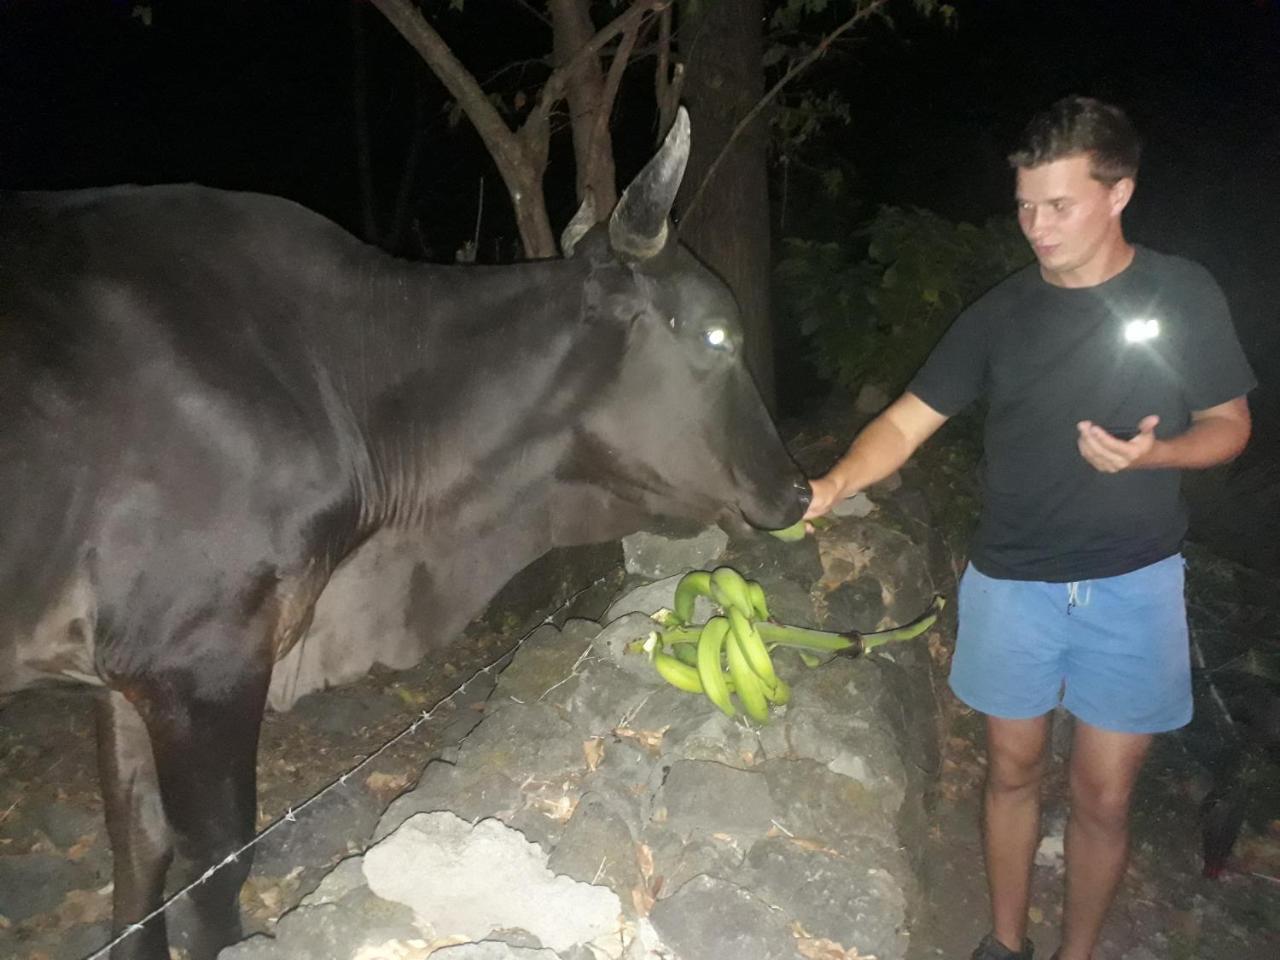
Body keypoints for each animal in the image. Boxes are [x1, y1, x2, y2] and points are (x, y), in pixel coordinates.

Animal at [0, 108, 803, 957]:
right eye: (717, 338)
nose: (800, 487)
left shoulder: (125, 678)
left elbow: (141, 848)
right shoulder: (198, 663)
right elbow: (215, 863)